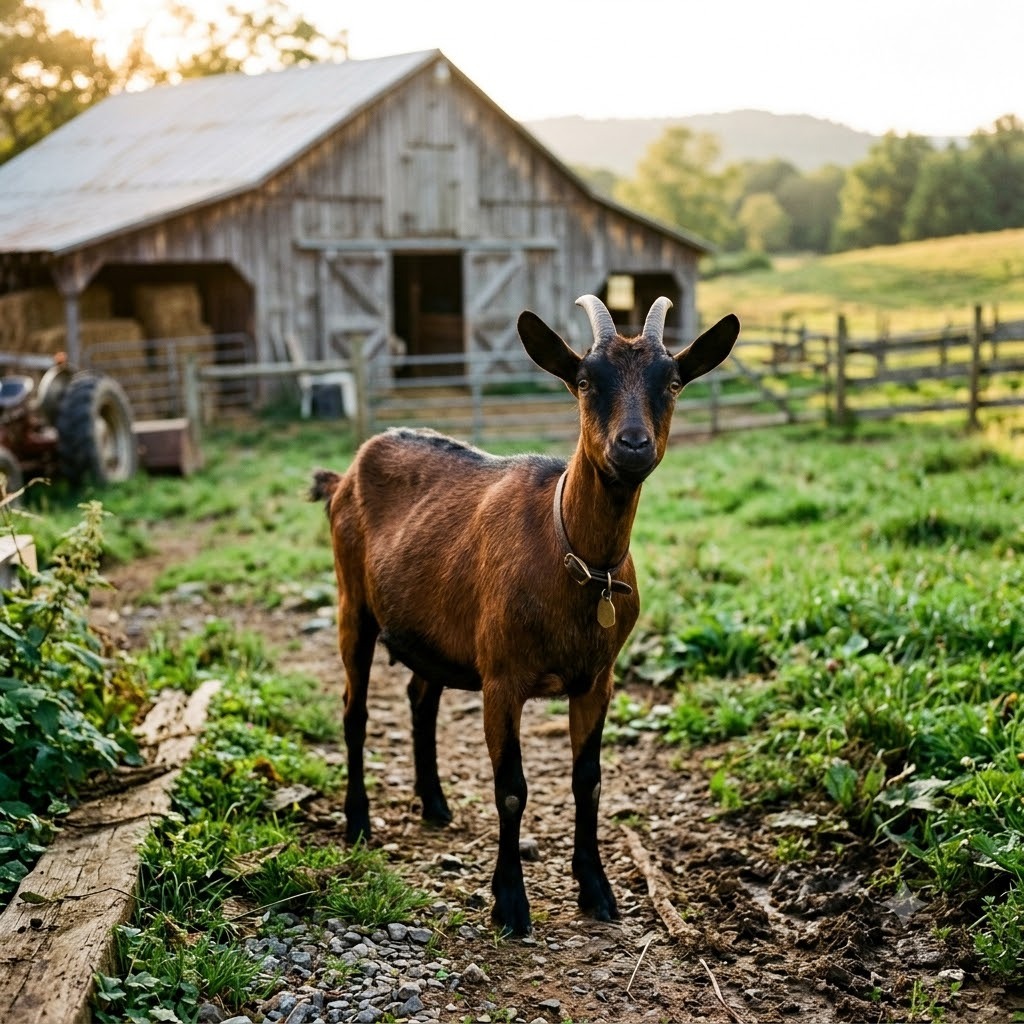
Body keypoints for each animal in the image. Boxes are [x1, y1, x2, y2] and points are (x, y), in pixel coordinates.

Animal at [311, 295, 739, 936]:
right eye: (585, 380)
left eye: (672, 381)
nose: (633, 445)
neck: (576, 560)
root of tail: (346, 472)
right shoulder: (502, 677)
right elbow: (511, 789)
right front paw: (510, 903)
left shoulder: (597, 680)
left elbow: (589, 782)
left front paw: (597, 891)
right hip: (352, 605)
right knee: (354, 711)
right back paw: (358, 822)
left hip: (433, 631)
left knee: (420, 699)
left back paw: (434, 803)